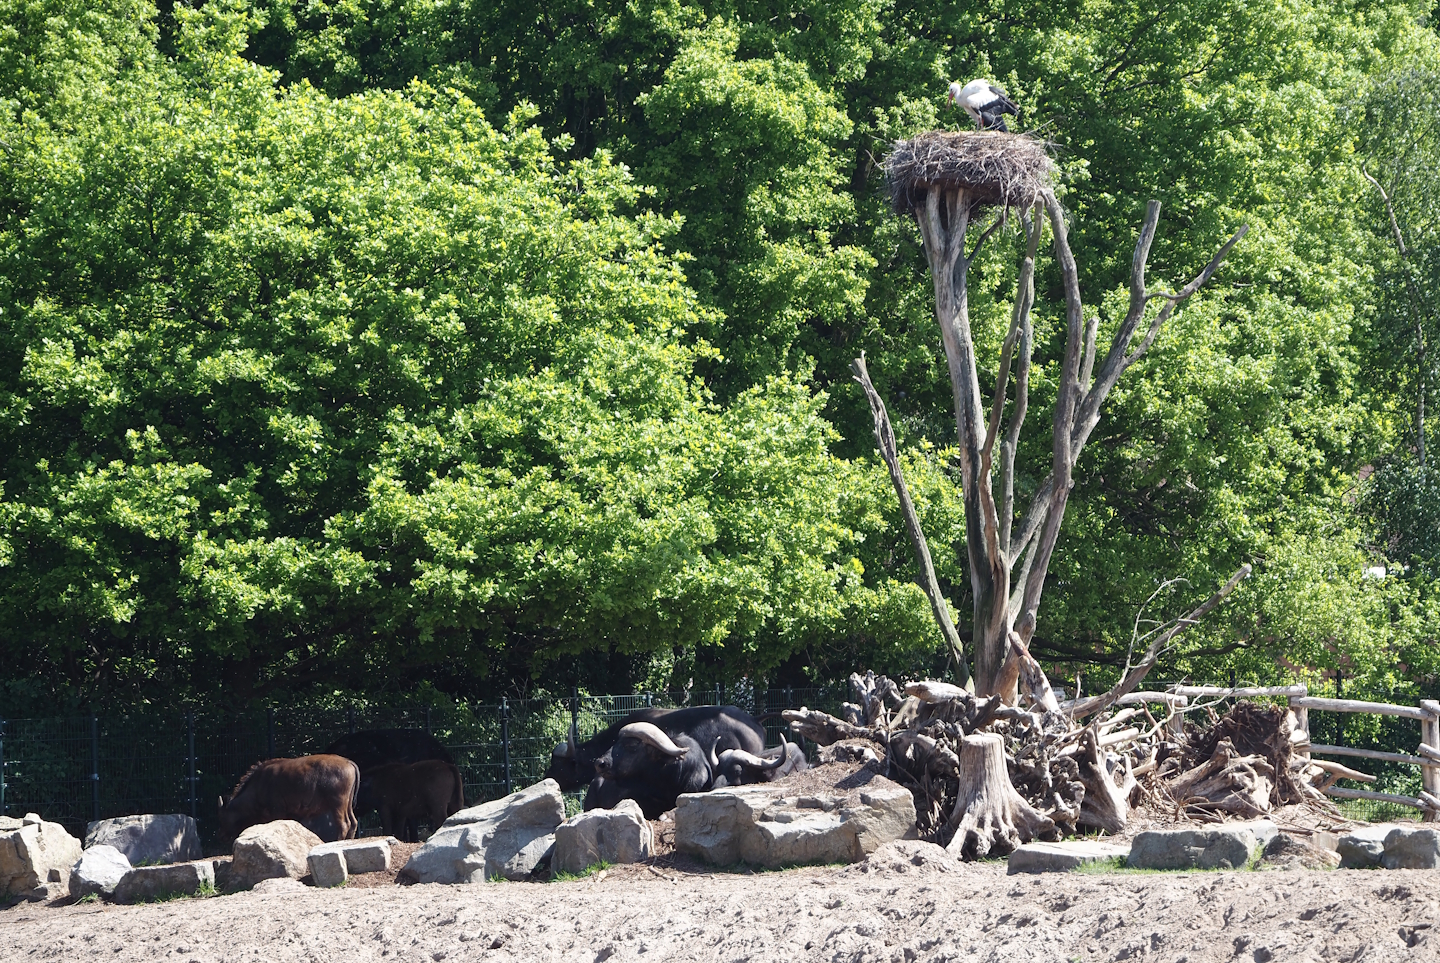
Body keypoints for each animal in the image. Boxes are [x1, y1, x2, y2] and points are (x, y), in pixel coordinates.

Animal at [217, 754, 359, 846]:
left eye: (223, 816)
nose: (222, 836)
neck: (258, 785)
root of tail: (349, 762)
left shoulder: (277, 811)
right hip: (347, 805)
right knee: (353, 822)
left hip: (337, 805)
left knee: (344, 824)